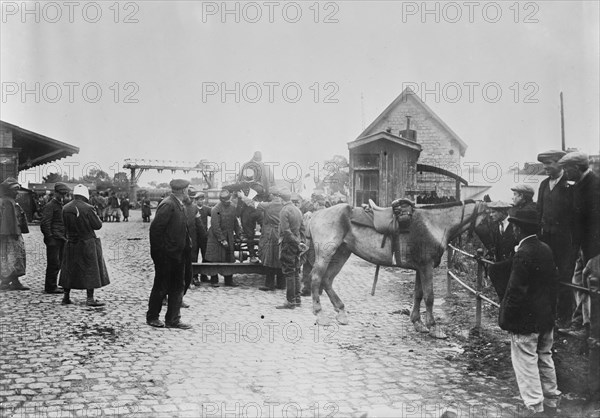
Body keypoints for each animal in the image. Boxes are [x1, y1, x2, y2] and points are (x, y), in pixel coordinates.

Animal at [308, 199, 490, 340]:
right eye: (492, 218)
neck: (434, 224)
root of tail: (315, 214)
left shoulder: (420, 268)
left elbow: (418, 294)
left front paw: (418, 323)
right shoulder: (426, 266)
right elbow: (429, 296)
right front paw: (434, 327)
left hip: (342, 252)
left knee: (327, 280)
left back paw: (341, 312)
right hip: (326, 253)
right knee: (316, 278)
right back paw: (320, 314)